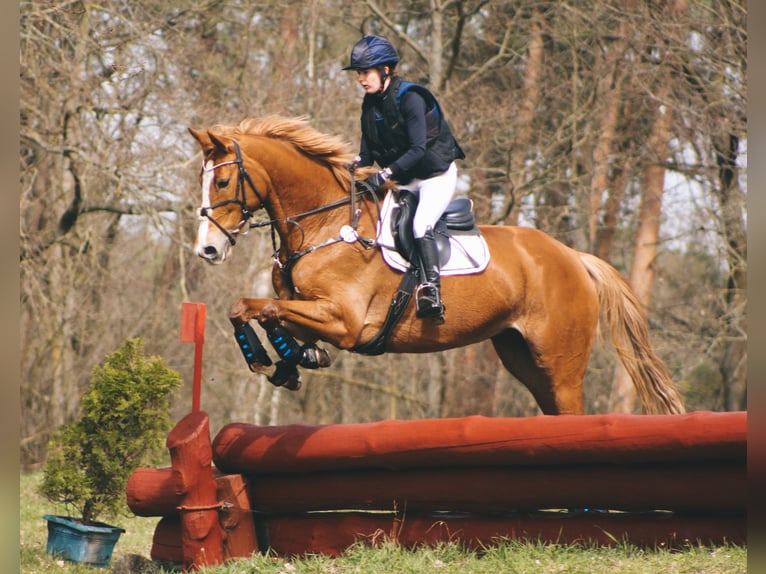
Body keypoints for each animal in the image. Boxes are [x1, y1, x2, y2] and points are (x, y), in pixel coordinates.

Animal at [189, 113, 688, 418]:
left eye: (223, 181)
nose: (207, 250)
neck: (323, 225)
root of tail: (574, 258)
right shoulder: (308, 310)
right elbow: (256, 309)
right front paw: (290, 361)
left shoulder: (344, 321)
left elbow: (262, 308)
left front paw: (275, 360)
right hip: (521, 356)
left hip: (561, 362)